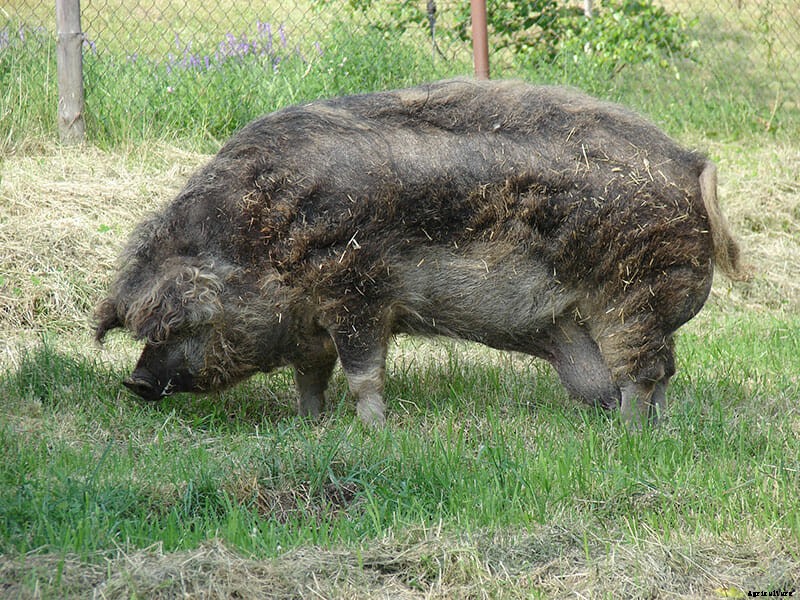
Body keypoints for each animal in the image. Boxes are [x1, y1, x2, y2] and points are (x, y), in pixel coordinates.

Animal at [95, 78, 744, 427]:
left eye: (183, 323)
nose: (135, 381)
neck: (264, 241)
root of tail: (692, 166)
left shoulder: (360, 294)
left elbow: (363, 373)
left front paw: (374, 432)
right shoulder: (311, 325)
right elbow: (312, 375)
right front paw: (311, 424)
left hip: (635, 296)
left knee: (641, 374)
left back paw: (629, 433)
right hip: (616, 317)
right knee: (655, 373)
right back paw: (656, 428)